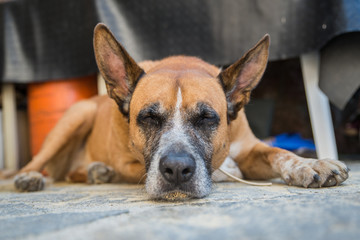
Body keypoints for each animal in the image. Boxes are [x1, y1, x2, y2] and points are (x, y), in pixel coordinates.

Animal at [14, 23, 348, 200]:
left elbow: (279, 152)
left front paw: (310, 163)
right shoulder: (129, 163)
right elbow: (223, 168)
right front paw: (227, 170)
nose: (176, 170)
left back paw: (95, 171)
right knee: (38, 164)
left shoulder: (251, 147)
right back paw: (30, 177)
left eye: (207, 118)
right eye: (148, 117)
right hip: (75, 117)